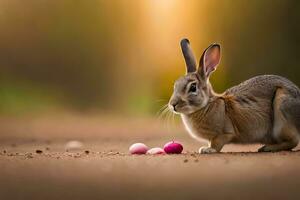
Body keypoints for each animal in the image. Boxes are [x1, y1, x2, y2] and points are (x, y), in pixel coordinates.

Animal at [168, 38, 300, 153]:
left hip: (282, 110)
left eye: (193, 87)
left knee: (293, 141)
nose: (172, 104)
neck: (206, 105)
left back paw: (267, 148)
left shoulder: (224, 133)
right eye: (175, 85)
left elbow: (217, 143)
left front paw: (208, 150)